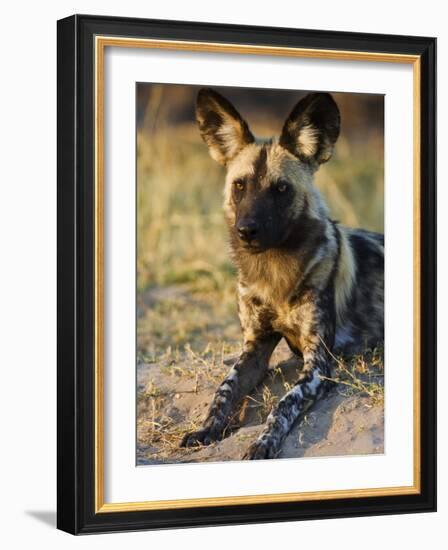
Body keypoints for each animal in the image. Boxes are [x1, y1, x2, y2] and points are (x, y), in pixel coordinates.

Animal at [180, 90, 384, 462]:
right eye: (240, 186)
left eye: (281, 189)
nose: (247, 231)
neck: (274, 274)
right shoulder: (255, 348)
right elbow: (223, 390)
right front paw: (206, 429)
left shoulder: (318, 365)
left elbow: (284, 403)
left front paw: (264, 441)